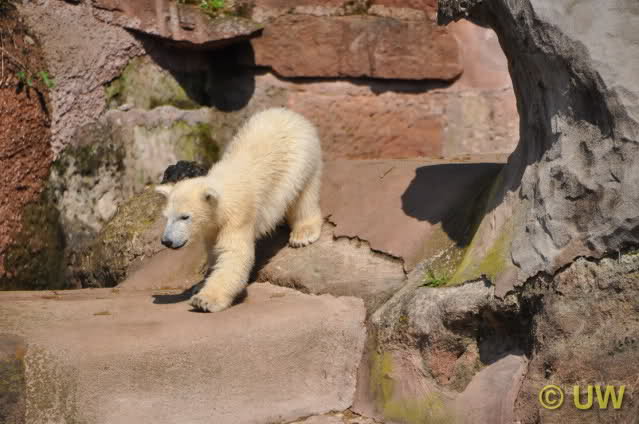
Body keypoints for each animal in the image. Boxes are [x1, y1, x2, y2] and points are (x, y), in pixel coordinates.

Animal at [155, 107, 323, 312]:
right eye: (167, 217)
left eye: (185, 217)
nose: (166, 241)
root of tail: (290, 114)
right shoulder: (213, 227)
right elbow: (215, 252)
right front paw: (200, 284)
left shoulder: (237, 217)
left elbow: (234, 254)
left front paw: (205, 300)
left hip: (300, 161)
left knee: (303, 196)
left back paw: (303, 234)